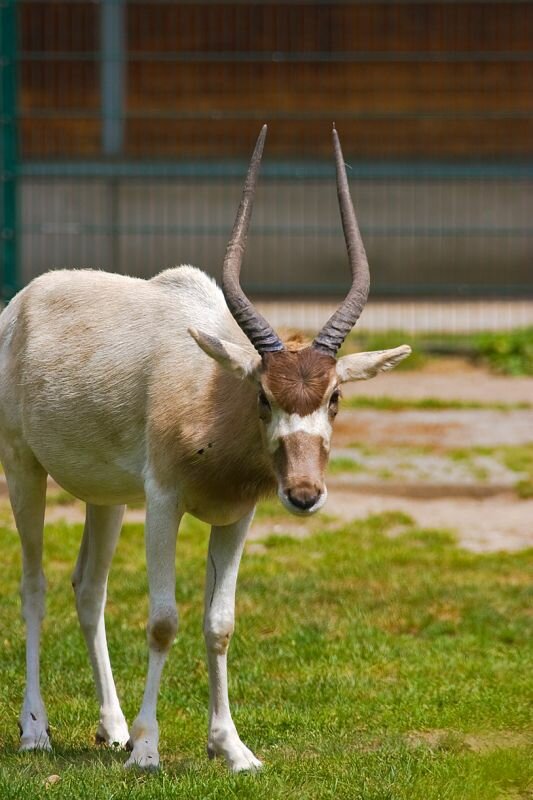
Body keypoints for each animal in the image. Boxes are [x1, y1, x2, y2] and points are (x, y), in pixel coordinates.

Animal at [0, 128, 412, 772]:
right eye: (264, 395)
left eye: (336, 396)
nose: (304, 494)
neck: (215, 392)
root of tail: (22, 303)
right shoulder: (163, 502)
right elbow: (162, 620)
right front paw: (147, 751)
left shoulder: (236, 516)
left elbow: (219, 623)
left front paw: (232, 748)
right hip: (23, 467)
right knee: (34, 586)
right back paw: (36, 731)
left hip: (107, 497)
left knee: (89, 589)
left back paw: (112, 727)